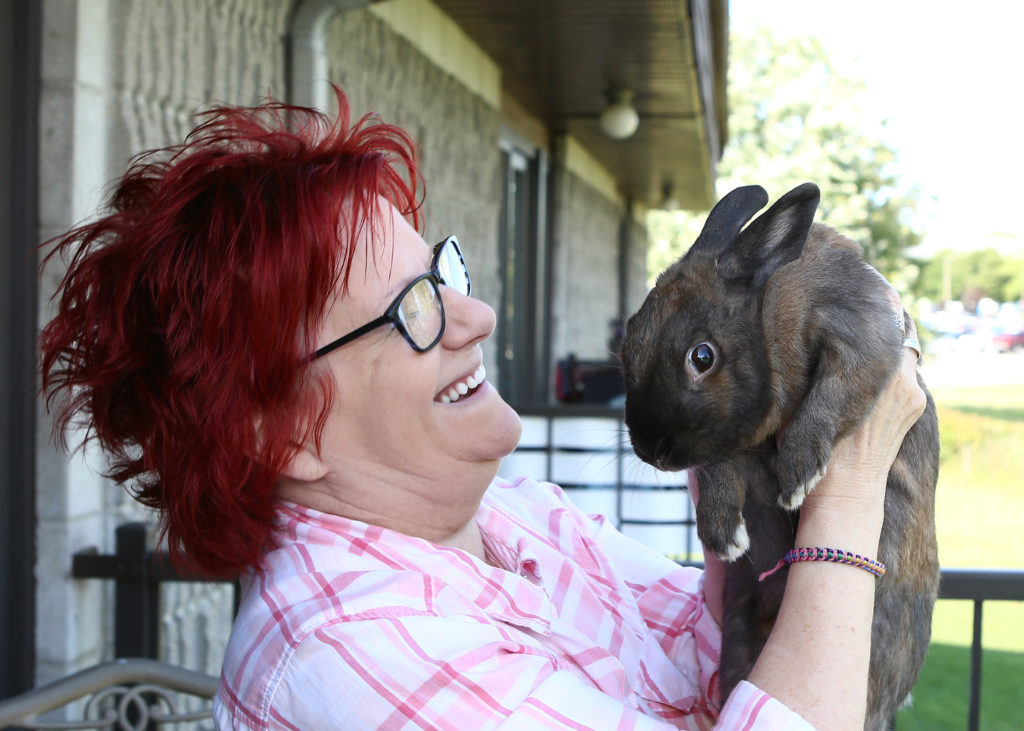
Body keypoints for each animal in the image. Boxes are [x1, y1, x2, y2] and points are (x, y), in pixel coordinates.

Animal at [619, 182, 940, 730]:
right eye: (627, 341)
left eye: (701, 357)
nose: (651, 451)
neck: (766, 318)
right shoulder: (731, 445)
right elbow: (717, 467)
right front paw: (723, 535)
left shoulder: (861, 337)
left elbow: (831, 398)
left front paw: (798, 475)